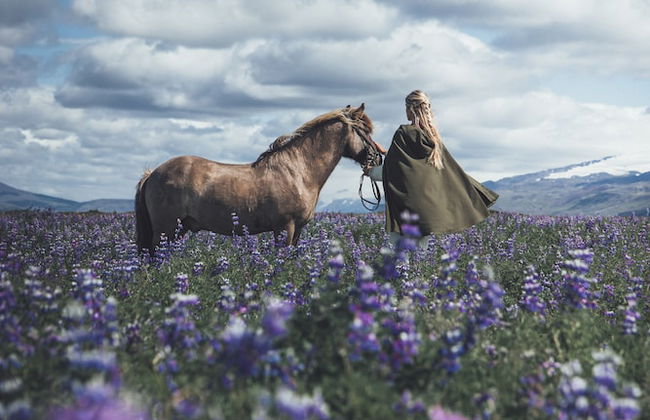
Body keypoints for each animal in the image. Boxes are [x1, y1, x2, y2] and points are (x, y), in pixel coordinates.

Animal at [135, 104, 382, 254]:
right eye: (365, 130)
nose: (378, 157)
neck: (298, 171)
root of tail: (153, 173)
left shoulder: (297, 229)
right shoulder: (285, 227)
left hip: (178, 229)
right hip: (166, 230)